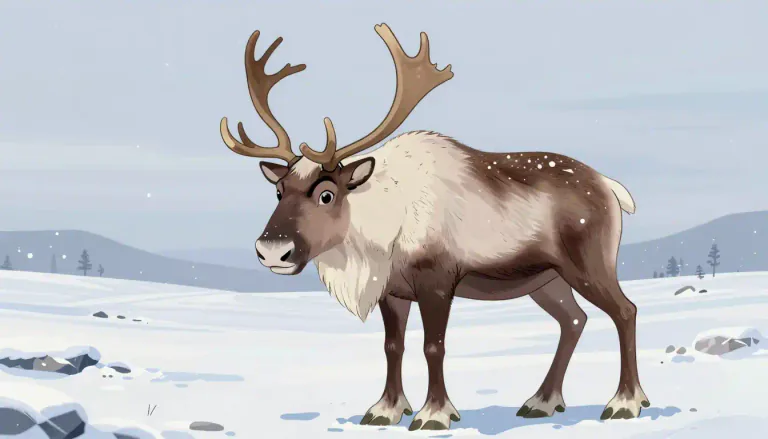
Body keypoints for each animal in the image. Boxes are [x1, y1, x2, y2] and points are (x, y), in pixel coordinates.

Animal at [220, 24, 649, 431]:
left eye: (327, 193)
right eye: (278, 190)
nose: (273, 249)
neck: (377, 229)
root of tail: (610, 186)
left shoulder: (438, 280)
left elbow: (434, 346)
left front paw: (434, 413)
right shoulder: (392, 290)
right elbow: (392, 347)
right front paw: (386, 409)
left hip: (588, 264)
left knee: (625, 311)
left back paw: (625, 402)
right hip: (546, 279)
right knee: (574, 320)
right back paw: (542, 401)